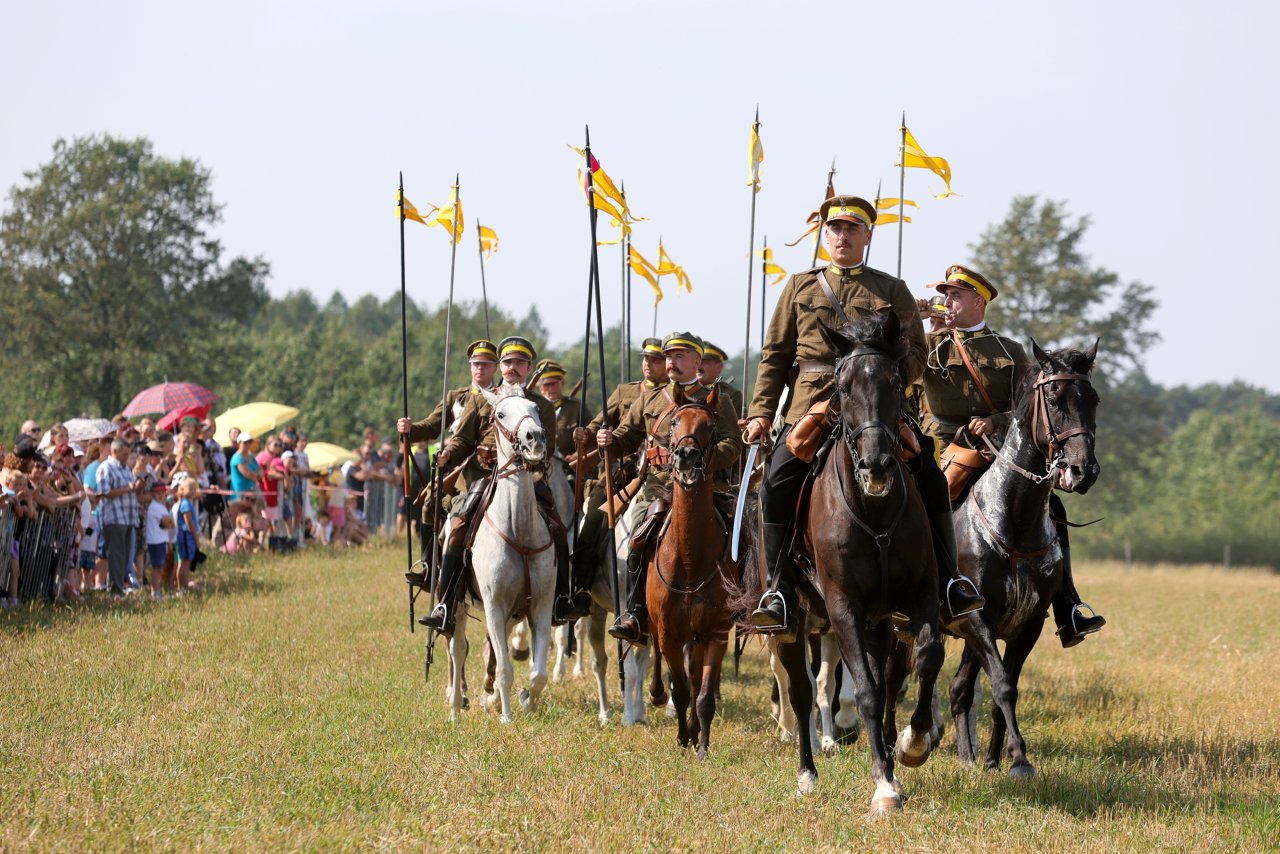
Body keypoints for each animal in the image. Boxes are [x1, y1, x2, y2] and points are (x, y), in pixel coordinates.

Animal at [445, 384, 555, 727]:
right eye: (501, 414)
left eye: (535, 408)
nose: (534, 438)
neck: (518, 529)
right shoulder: (493, 604)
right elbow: (505, 667)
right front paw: (506, 716)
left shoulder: (541, 605)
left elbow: (538, 672)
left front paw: (526, 702)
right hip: (457, 605)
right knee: (457, 648)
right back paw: (456, 707)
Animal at [757, 313, 942, 814]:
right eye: (842, 387)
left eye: (895, 381)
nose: (876, 465)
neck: (874, 513)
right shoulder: (843, 609)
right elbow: (865, 691)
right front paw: (883, 786)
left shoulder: (920, 597)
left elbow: (926, 660)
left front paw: (912, 745)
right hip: (794, 619)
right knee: (801, 692)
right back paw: (807, 773)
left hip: (879, 622)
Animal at [947, 338, 1105, 773]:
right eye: (1052, 398)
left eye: (1094, 400)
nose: (1082, 471)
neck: (1012, 522)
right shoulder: (977, 618)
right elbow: (1002, 684)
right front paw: (1018, 758)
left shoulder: (1027, 623)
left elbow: (1007, 687)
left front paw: (1000, 759)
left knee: (958, 689)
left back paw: (966, 758)